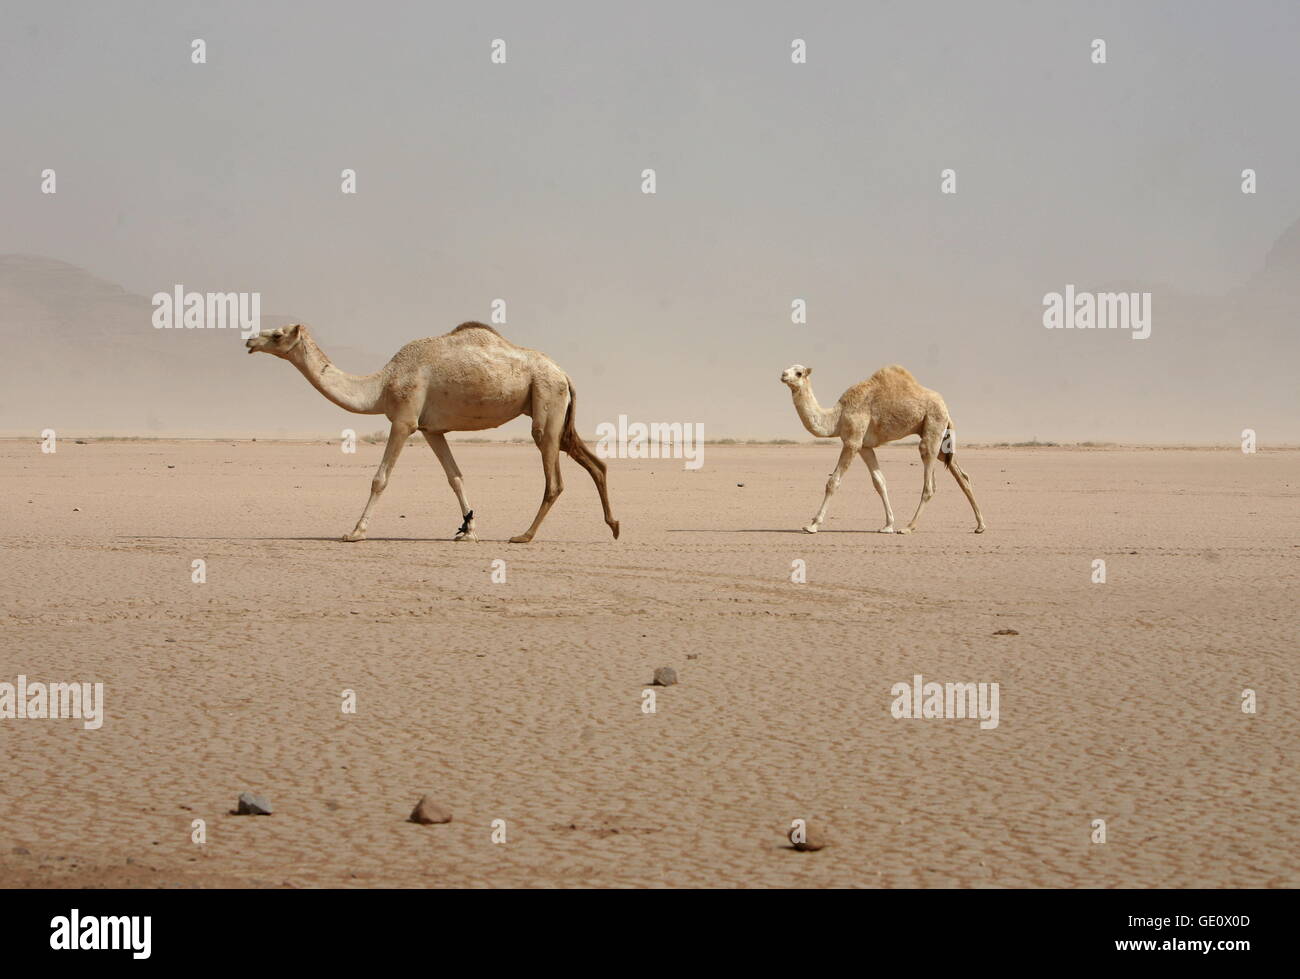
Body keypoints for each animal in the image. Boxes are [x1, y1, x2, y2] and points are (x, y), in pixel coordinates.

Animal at [249, 325, 624, 546]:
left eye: (278, 334)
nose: (250, 340)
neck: (382, 385)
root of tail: (564, 373)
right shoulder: (432, 430)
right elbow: (455, 477)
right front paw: (468, 530)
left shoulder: (404, 420)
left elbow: (380, 478)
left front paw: (354, 532)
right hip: (556, 410)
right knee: (595, 463)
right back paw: (614, 525)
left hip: (546, 402)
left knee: (554, 479)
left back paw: (524, 535)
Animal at [780, 364, 982, 535]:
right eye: (788, 368)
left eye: (798, 373)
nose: (783, 374)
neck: (837, 417)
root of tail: (947, 409)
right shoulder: (865, 447)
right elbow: (879, 481)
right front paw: (888, 525)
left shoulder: (852, 441)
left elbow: (833, 482)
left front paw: (812, 525)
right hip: (940, 439)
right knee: (962, 476)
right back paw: (980, 526)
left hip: (933, 426)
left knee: (929, 483)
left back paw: (908, 527)